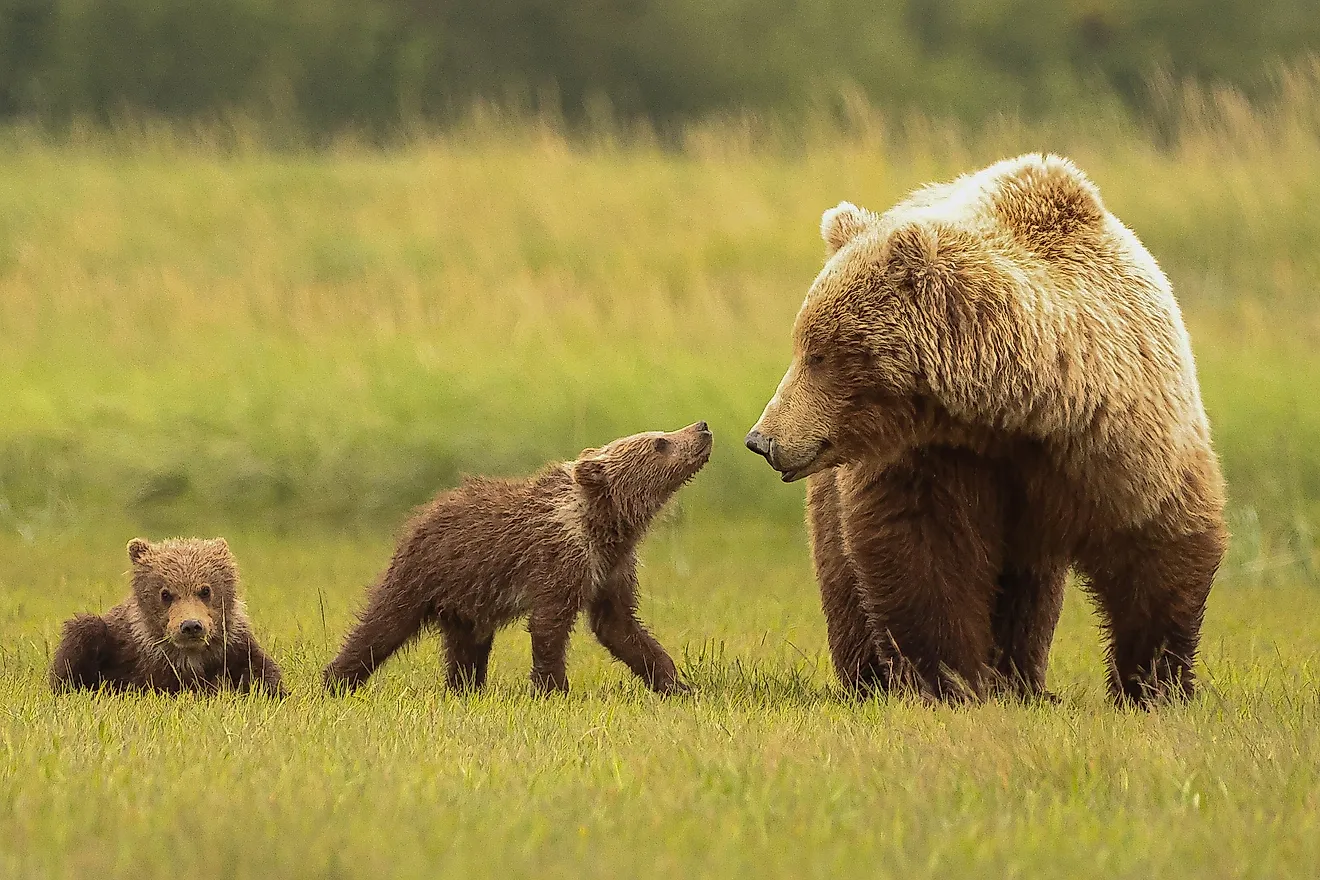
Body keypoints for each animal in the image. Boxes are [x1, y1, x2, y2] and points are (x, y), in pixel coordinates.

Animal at [50, 537, 286, 696]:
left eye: (205, 590)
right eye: (165, 593)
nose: (191, 626)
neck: (190, 657)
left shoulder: (235, 648)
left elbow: (262, 676)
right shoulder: (135, 660)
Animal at [323, 422, 713, 695]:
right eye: (659, 442)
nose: (702, 427)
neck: (604, 528)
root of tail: (424, 512)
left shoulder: (611, 570)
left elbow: (619, 627)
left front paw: (675, 685)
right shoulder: (558, 561)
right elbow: (549, 626)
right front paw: (553, 689)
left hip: (467, 601)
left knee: (466, 649)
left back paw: (464, 689)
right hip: (425, 573)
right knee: (384, 624)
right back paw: (336, 681)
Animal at [744, 153, 1227, 707]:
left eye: (820, 354)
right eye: (805, 344)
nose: (762, 439)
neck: (1019, 410)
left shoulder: (1116, 436)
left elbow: (1157, 541)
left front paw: (1154, 685)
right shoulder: (932, 456)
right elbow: (924, 553)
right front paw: (949, 681)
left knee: (1029, 589)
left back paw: (1024, 682)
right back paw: (870, 678)